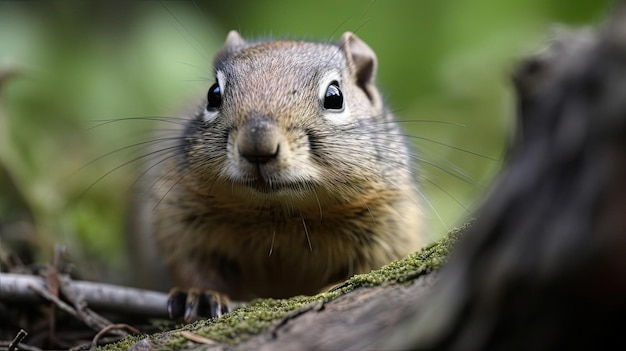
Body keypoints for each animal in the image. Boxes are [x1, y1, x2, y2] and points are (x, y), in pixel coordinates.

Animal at [133, 30, 422, 322]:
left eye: (335, 97)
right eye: (213, 94)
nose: (257, 144)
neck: (279, 215)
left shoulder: (391, 222)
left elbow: (373, 264)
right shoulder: (179, 216)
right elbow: (190, 262)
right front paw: (199, 293)